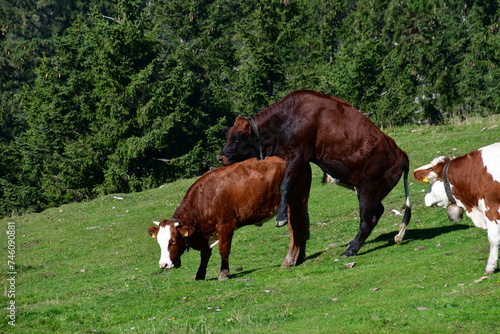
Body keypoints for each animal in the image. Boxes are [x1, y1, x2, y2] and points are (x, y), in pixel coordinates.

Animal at [146, 156, 310, 280]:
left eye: (173, 241)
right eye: (159, 242)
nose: (163, 265)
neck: (203, 199)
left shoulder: (225, 225)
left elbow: (223, 250)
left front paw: (223, 274)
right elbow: (205, 255)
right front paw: (200, 275)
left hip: (291, 205)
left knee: (294, 232)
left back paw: (288, 261)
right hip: (301, 201)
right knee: (304, 229)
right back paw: (300, 257)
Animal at [219, 90, 410, 258]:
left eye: (236, 138)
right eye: (227, 136)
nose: (220, 157)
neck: (287, 118)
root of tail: (401, 154)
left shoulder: (299, 155)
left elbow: (285, 185)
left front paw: (281, 217)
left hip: (368, 190)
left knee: (367, 220)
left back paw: (350, 250)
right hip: (369, 192)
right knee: (378, 212)